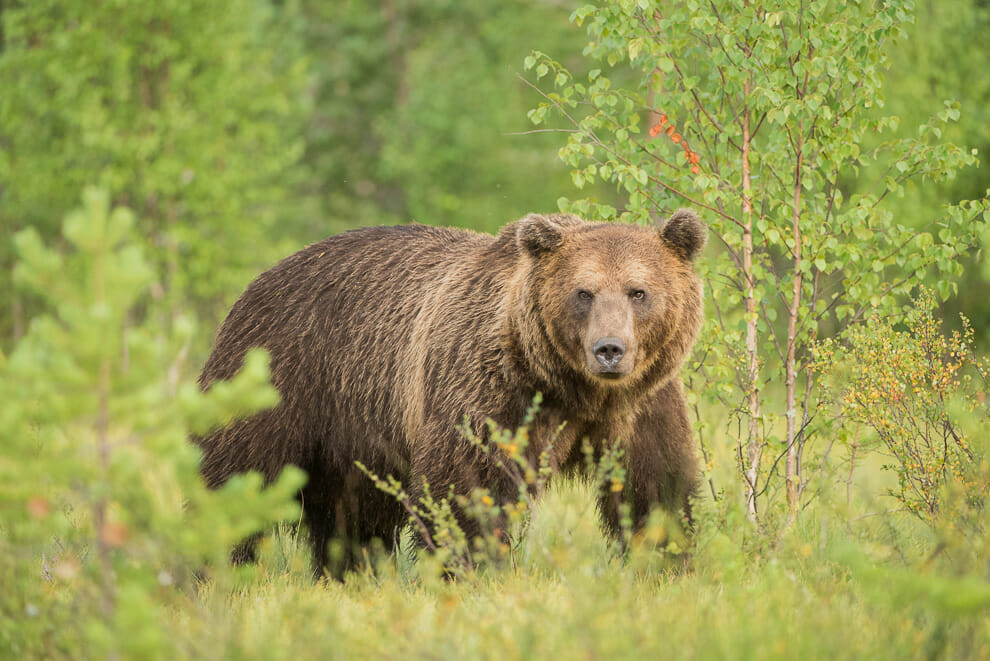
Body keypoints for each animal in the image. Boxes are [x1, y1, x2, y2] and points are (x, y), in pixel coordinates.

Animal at [196, 209, 704, 576]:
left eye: (637, 291)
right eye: (583, 293)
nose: (609, 349)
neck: (575, 389)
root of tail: (262, 278)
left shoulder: (642, 405)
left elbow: (658, 484)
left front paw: (668, 562)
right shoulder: (493, 390)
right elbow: (468, 484)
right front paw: (469, 568)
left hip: (353, 434)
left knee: (353, 517)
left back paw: (351, 574)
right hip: (282, 374)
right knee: (232, 476)